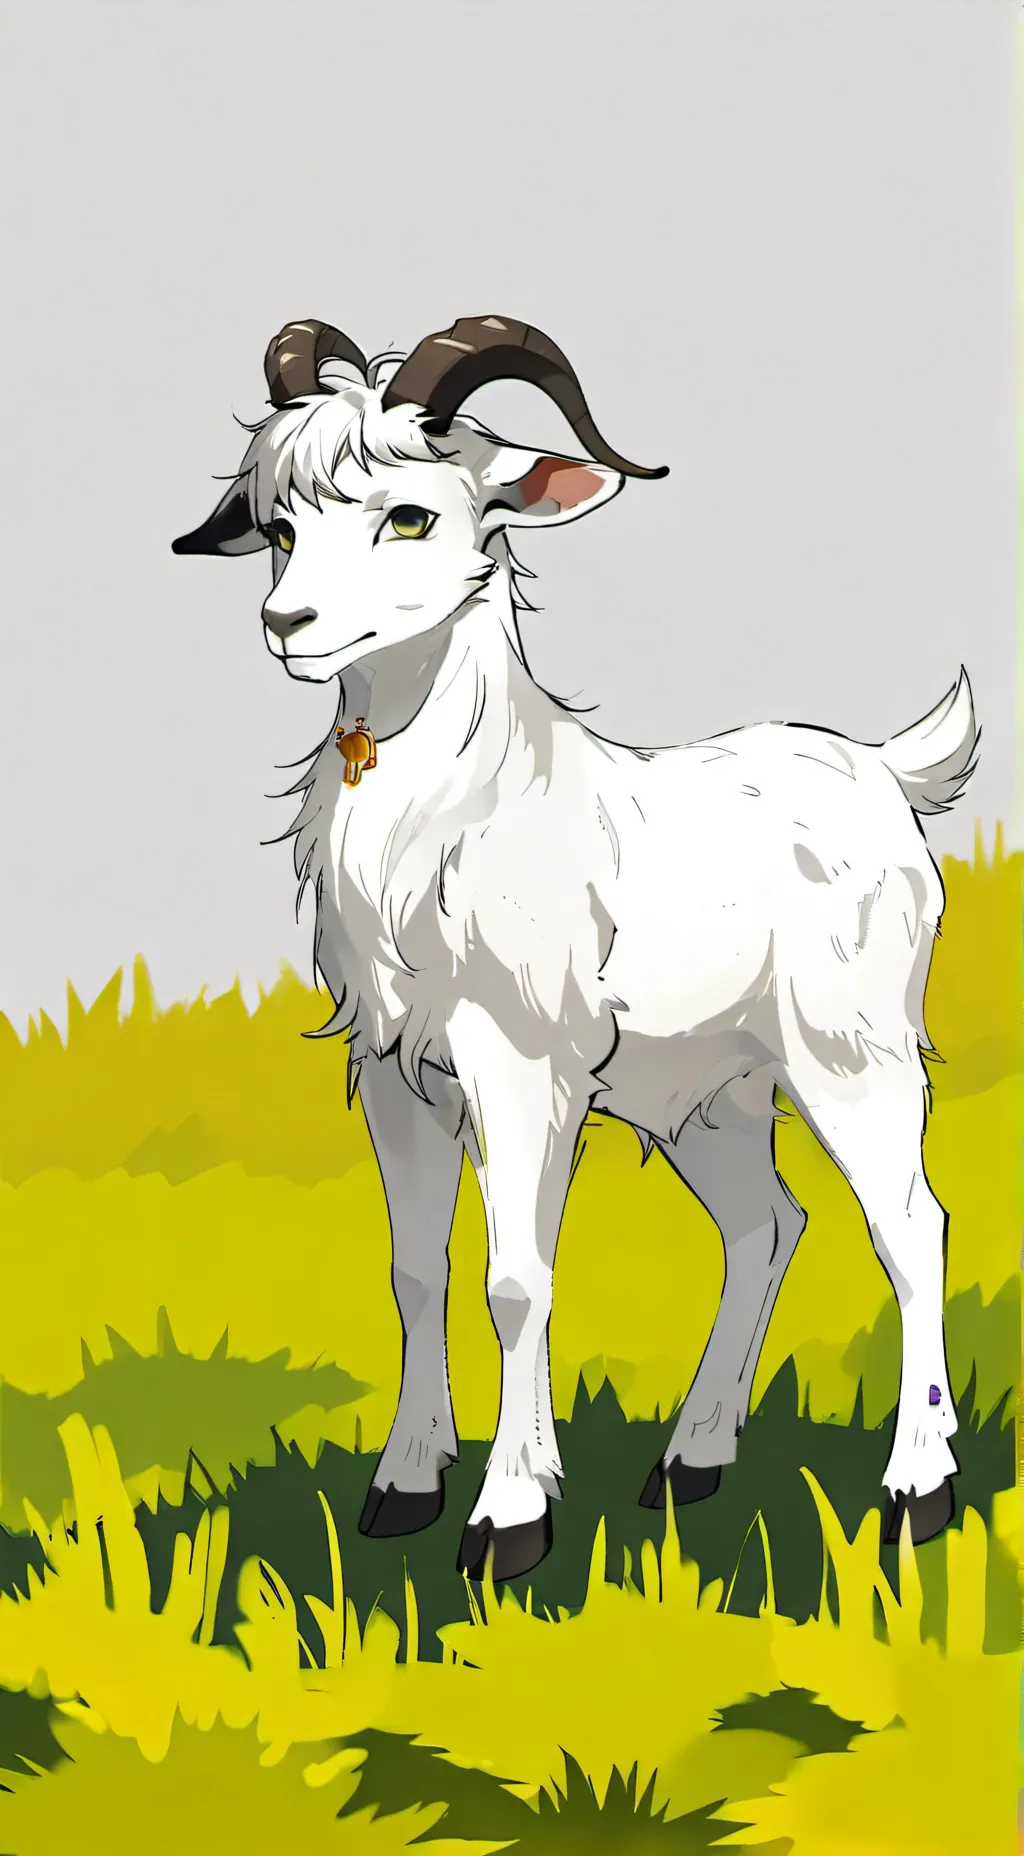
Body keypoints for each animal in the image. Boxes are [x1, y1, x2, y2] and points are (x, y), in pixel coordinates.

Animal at [173, 314, 978, 1583]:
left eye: (412, 513)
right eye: (280, 525)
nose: (287, 626)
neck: (452, 821)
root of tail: (886, 770)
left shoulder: (519, 1069)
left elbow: (516, 1279)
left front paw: (508, 1521)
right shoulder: (396, 1076)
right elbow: (415, 1269)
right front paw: (403, 1488)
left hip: (854, 1056)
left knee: (910, 1226)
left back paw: (916, 1489)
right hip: (714, 1094)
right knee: (768, 1224)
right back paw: (690, 1462)